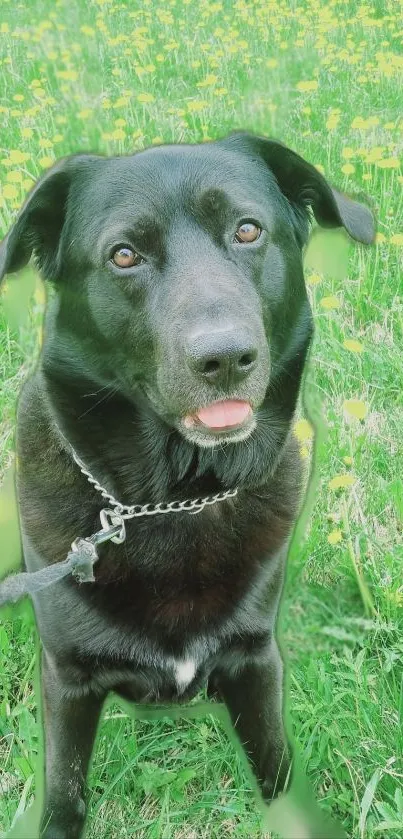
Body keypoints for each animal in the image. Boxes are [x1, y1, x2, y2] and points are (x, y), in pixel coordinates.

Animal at [0, 133, 376, 839]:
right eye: (124, 254)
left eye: (248, 230)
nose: (224, 358)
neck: (169, 500)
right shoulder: (67, 680)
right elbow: (65, 791)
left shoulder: (255, 661)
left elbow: (278, 770)